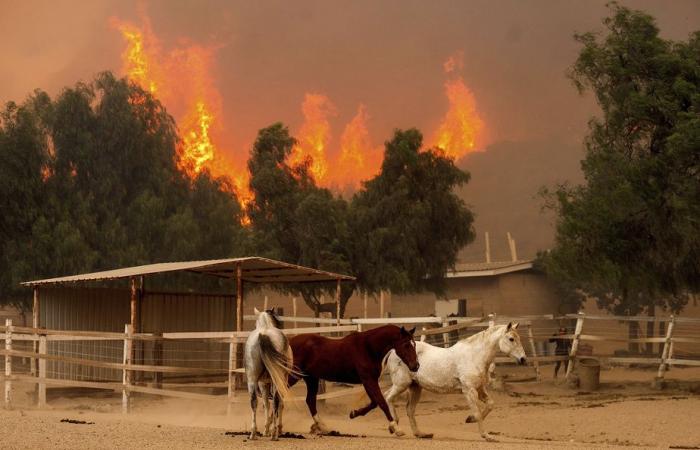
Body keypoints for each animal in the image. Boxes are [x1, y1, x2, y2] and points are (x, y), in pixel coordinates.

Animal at [245, 306, 294, 440]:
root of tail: (263, 334)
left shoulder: (263, 383)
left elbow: (266, 404)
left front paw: (267, 429)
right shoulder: (274, 382)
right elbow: (276, 404)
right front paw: (274, 428)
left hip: (252, 380)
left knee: (254, 402)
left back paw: (253, 433)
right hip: (276, 380)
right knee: (276, 402)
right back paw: (273, 433)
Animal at [288, 326, 418, 434]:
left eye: (414, 344)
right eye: (406, 345)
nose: (416, 366)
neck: (368, 348)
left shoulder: (370, 381)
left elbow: (374, 402)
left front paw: (353, 413)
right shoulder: (368, 379)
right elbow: (381, 402)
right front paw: (396, 428)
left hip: (311, 379)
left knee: (310, 401)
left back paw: (322, 426)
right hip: (293, 376)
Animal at [382, 322, 524, 442]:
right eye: (511, 339)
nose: (523, 359)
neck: (474, 356)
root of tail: (393, 350)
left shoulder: (480, 389)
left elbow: (490, 405)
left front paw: (470, 419)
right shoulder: (469, 390)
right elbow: (478, 412)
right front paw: (486, 436)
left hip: (415, 387)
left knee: (409, 409)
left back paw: (419, 434)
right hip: (401, 384)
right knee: (388, 397)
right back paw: (396, 429)